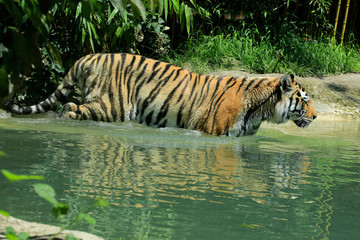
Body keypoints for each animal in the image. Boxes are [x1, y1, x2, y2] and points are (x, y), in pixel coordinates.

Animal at [3, 53, 318, 136]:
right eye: (304, 99)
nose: (316, 116)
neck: (261, 111)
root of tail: (88, 57)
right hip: (111, 107)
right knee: (68, 107)